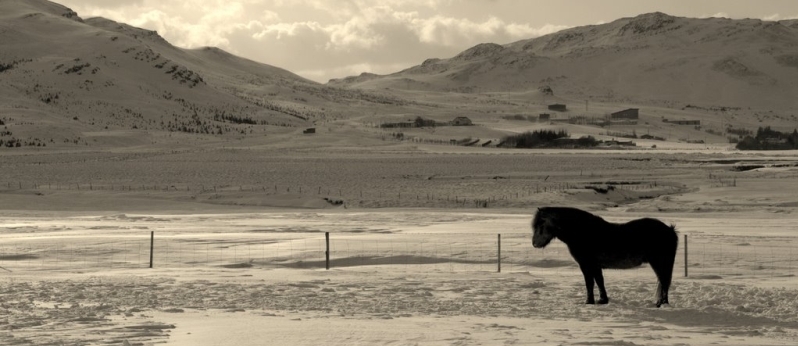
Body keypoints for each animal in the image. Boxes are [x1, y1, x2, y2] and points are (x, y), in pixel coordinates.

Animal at [536, 207, 680, 306]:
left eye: (541, 225)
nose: (534, 243)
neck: (583, 231)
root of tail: (670, 229)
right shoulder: (595, 266)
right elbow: (599, 281)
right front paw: (602, 300)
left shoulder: (586, 265)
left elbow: (589, 282)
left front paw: (589, 301)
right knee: (664, 281)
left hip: (659, 262)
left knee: (664, 281)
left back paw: (661, 303)